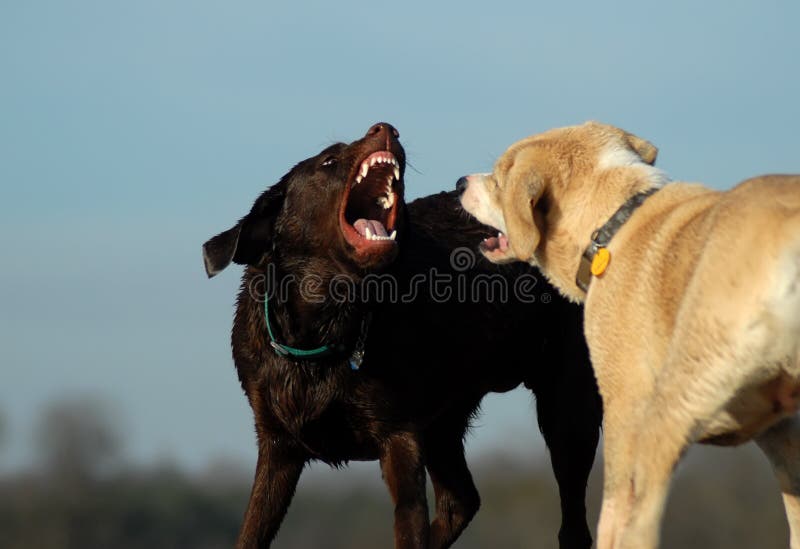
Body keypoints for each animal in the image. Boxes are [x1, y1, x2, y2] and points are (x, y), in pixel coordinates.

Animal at [456, 122, 800, 548]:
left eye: (500, 177)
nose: (459, 183)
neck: (613, 222)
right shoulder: (783, 431)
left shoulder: (623, 404)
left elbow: (616, 507)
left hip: (673, 401)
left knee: (639, 516)